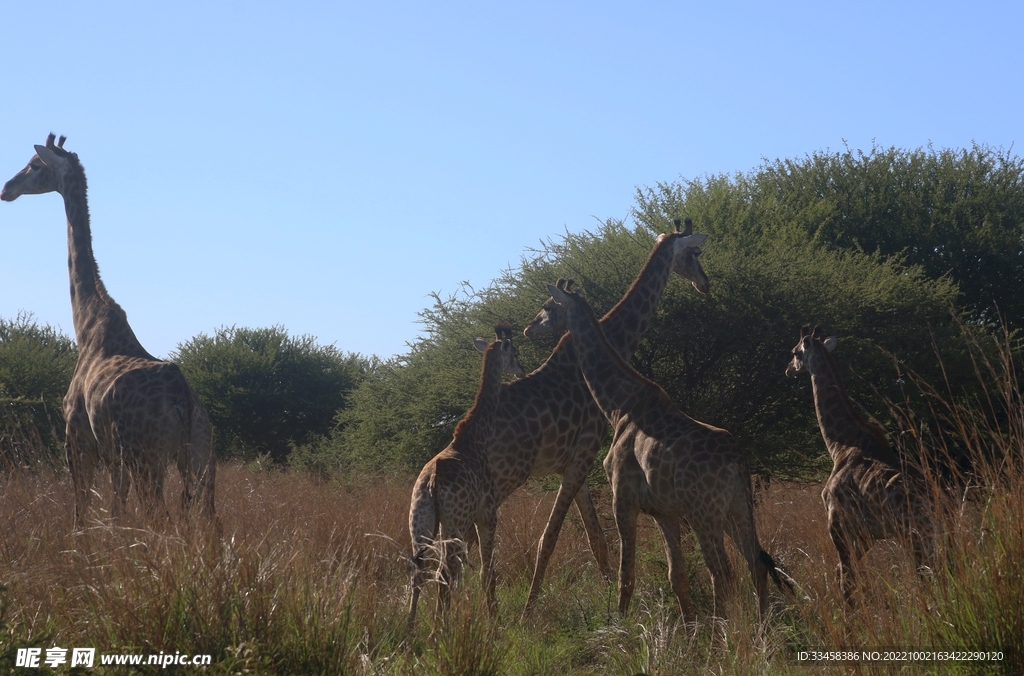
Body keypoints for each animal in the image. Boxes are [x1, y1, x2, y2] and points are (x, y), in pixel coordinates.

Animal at [2, 136, 216, 528]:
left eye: (35, 165)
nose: (6, 188)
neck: (86, 324)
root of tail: (182, 398)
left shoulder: (77, 438)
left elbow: (81, 510)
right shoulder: (113, 457)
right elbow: (116, 509)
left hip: (146, 457)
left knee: (159, 517)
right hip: (201, 456)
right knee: (210, 520)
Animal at [405, 325, 524, 635]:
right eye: (515, 353)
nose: (521, 370)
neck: (476, 436)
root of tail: (431, 482)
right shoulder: (488, 513)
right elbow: (487, 569)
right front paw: (495, 621)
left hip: (420, 521)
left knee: (420, 572)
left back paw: (410, 633)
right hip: (454, 522)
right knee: (443, 571)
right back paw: (438, 632)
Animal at [491, 220, 708, 614]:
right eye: (695, 252)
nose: (705, 282)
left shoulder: (574, 463)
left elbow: (596, 540)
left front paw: (607, 599)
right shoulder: (584, 454)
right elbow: (551, 537)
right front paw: (528, 613)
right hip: (505, 473)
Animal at [544, 282, 790, 618]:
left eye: (548, 306)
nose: (532, 327)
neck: (618, 406)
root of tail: (737, 461)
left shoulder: (622, 497)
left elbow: (626, 574)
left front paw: (619, 624)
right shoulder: (664, 511)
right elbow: (677, 575)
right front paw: (688, 627)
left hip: (704, 512)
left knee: (723, 572)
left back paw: (723, 627)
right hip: (737, 507)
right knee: (756, 563)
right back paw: (760, 625)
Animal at [782, 325, 937, 598]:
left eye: (794, 352)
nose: (788, 368)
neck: (840, 445)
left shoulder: (837, 523)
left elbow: (845, 579)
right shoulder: (867, 534)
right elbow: (845, 575)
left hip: (914, 534)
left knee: (925, 574)